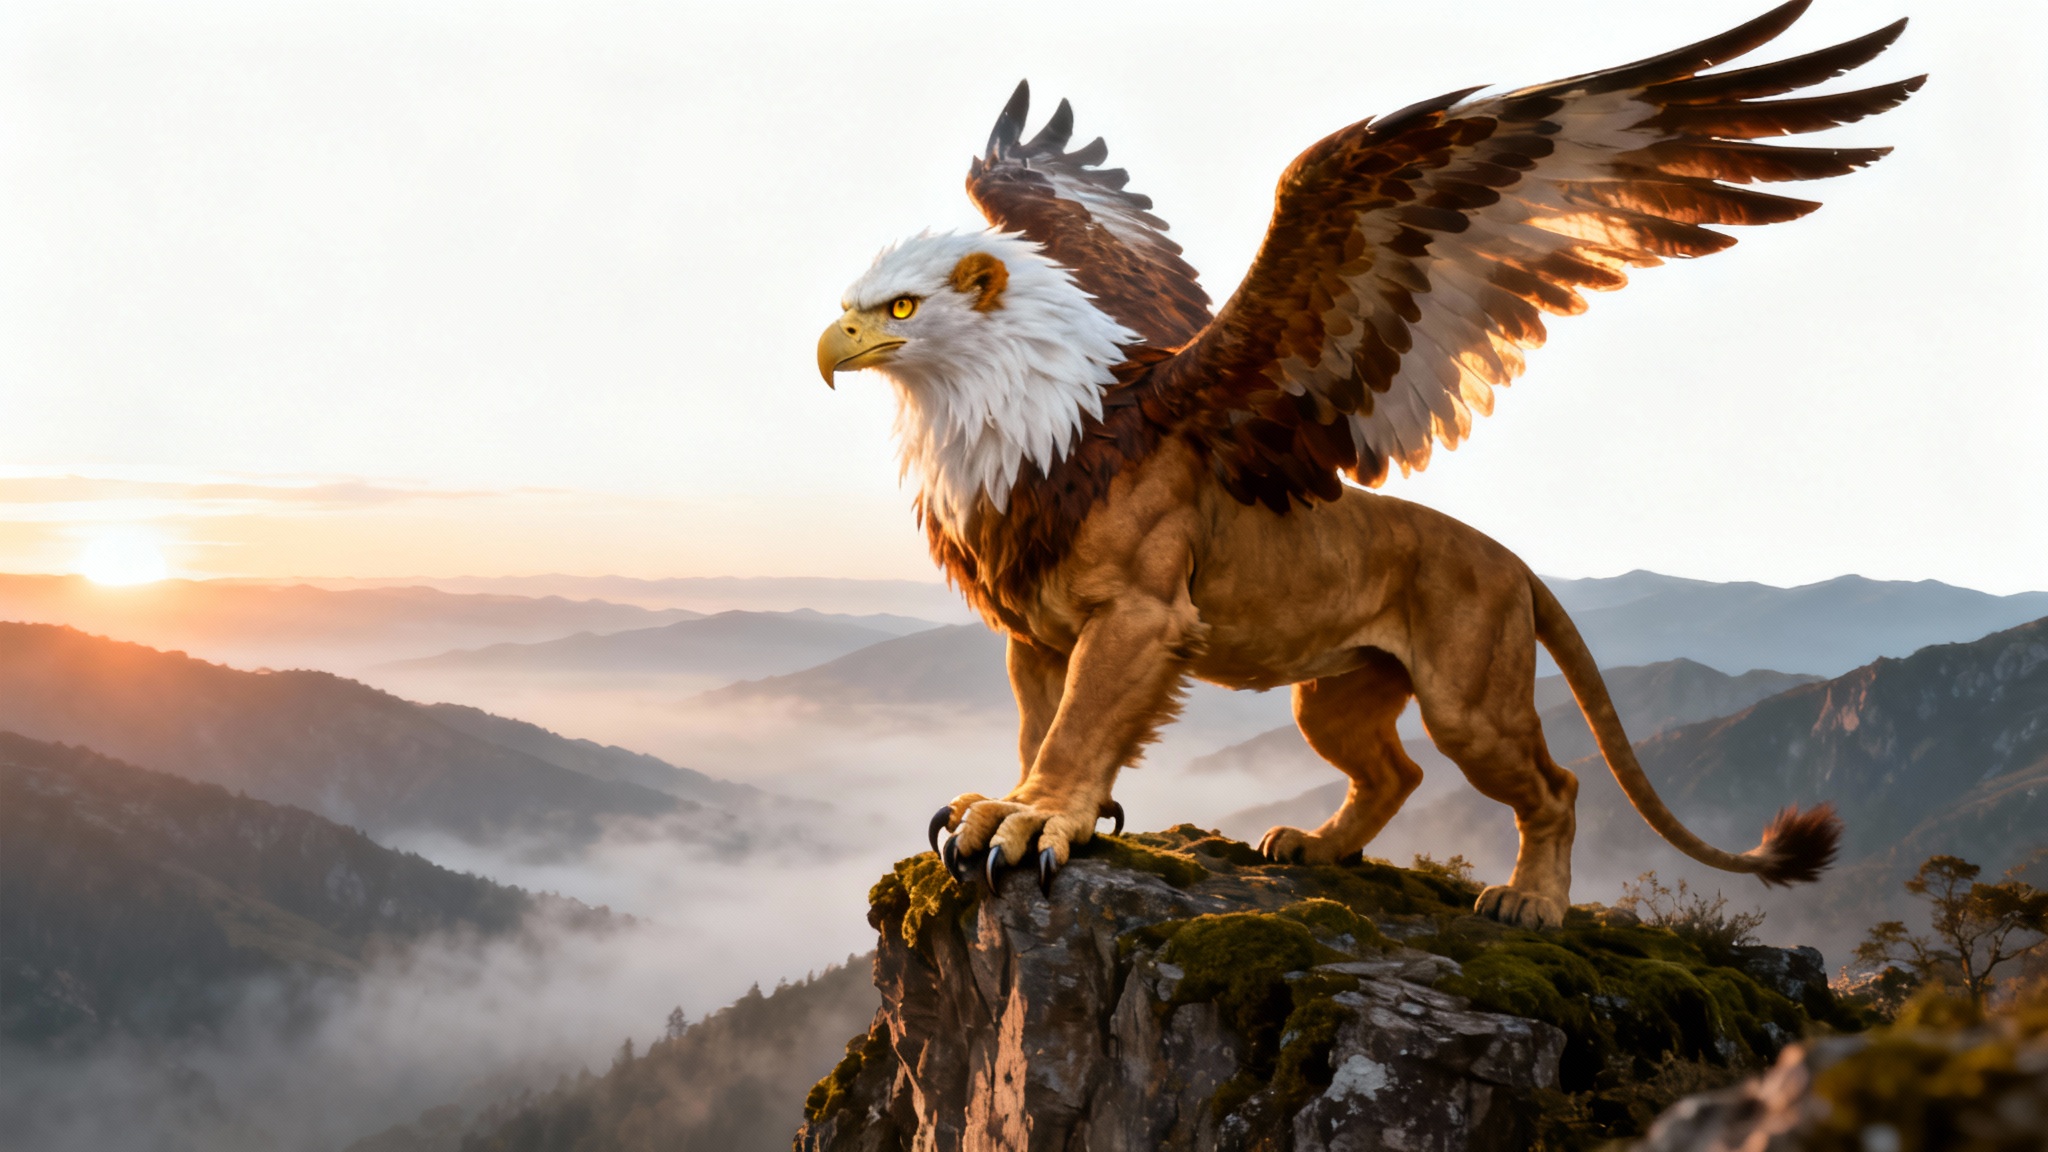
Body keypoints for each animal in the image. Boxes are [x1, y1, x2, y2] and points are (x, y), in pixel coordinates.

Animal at [817, 6, 1910, 926]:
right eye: (858, 307)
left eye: (901, 308)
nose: (830, 348)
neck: (1027, 428)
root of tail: (1511, 560)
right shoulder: (1033, 619)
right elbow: (1042, 714)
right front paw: (1027, 799)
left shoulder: (1136, 609)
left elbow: (1082, 719)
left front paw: (1037, 814)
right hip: (1340, 683)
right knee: (1394, 771)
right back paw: (1320, 846)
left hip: (1470, 677)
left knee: (1548, 781)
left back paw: (1531, 900)